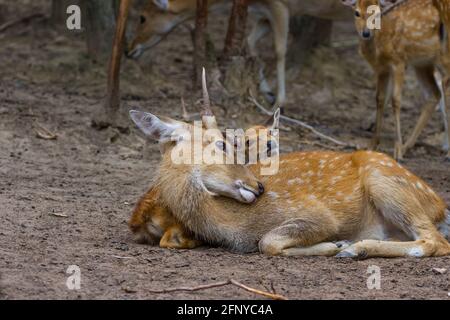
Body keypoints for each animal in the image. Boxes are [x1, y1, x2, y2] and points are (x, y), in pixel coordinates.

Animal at [125, 0, 352, 107]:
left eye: (142, 17)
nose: (129, 50)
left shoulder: (281, 5)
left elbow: (280, 50)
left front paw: (279, 102)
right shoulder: (266, 13)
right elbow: (250, 42)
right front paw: (268, 94)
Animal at [128, 69, 448, 258]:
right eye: (221, 143)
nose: (259, 187)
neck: (231, 227)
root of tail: (440, 206)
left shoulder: (317, 214)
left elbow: (268, 242)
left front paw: (336, 244)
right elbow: (268, 243)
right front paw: (337, 244)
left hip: (386, 182)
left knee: (434, 241)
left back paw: (355, 249)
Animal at [344, 0, 450, 160]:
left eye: (378, 13)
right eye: (356, 12)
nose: (366, 33)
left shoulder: (399, 62)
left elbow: (396, 100)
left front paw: (397, 150)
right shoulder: (382, 69)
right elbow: (380, 99)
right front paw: (372, 145)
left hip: (442, 61)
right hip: (422, 63)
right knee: (434, 94)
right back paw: (409, 146)